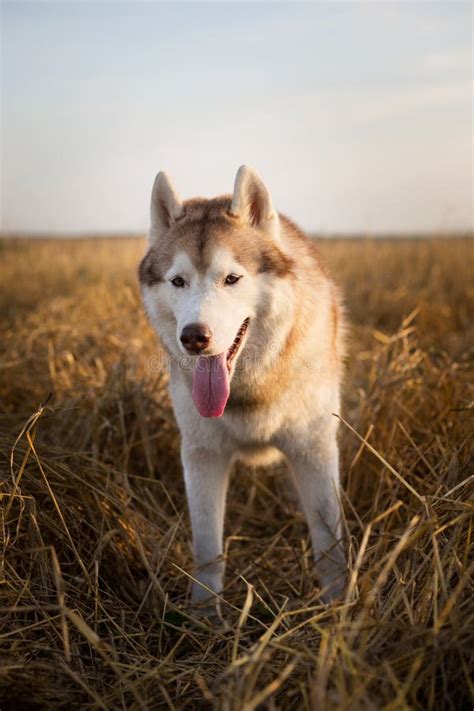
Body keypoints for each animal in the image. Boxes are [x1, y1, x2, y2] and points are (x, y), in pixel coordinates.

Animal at [139, 167, 346, 612]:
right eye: (178, 281)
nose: (194, 337)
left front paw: (338, 606)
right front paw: (203, 614)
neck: (250, 386)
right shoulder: (203, 454)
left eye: (231, 278)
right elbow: (206, 545)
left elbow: (330, 544)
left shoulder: (314, 449)